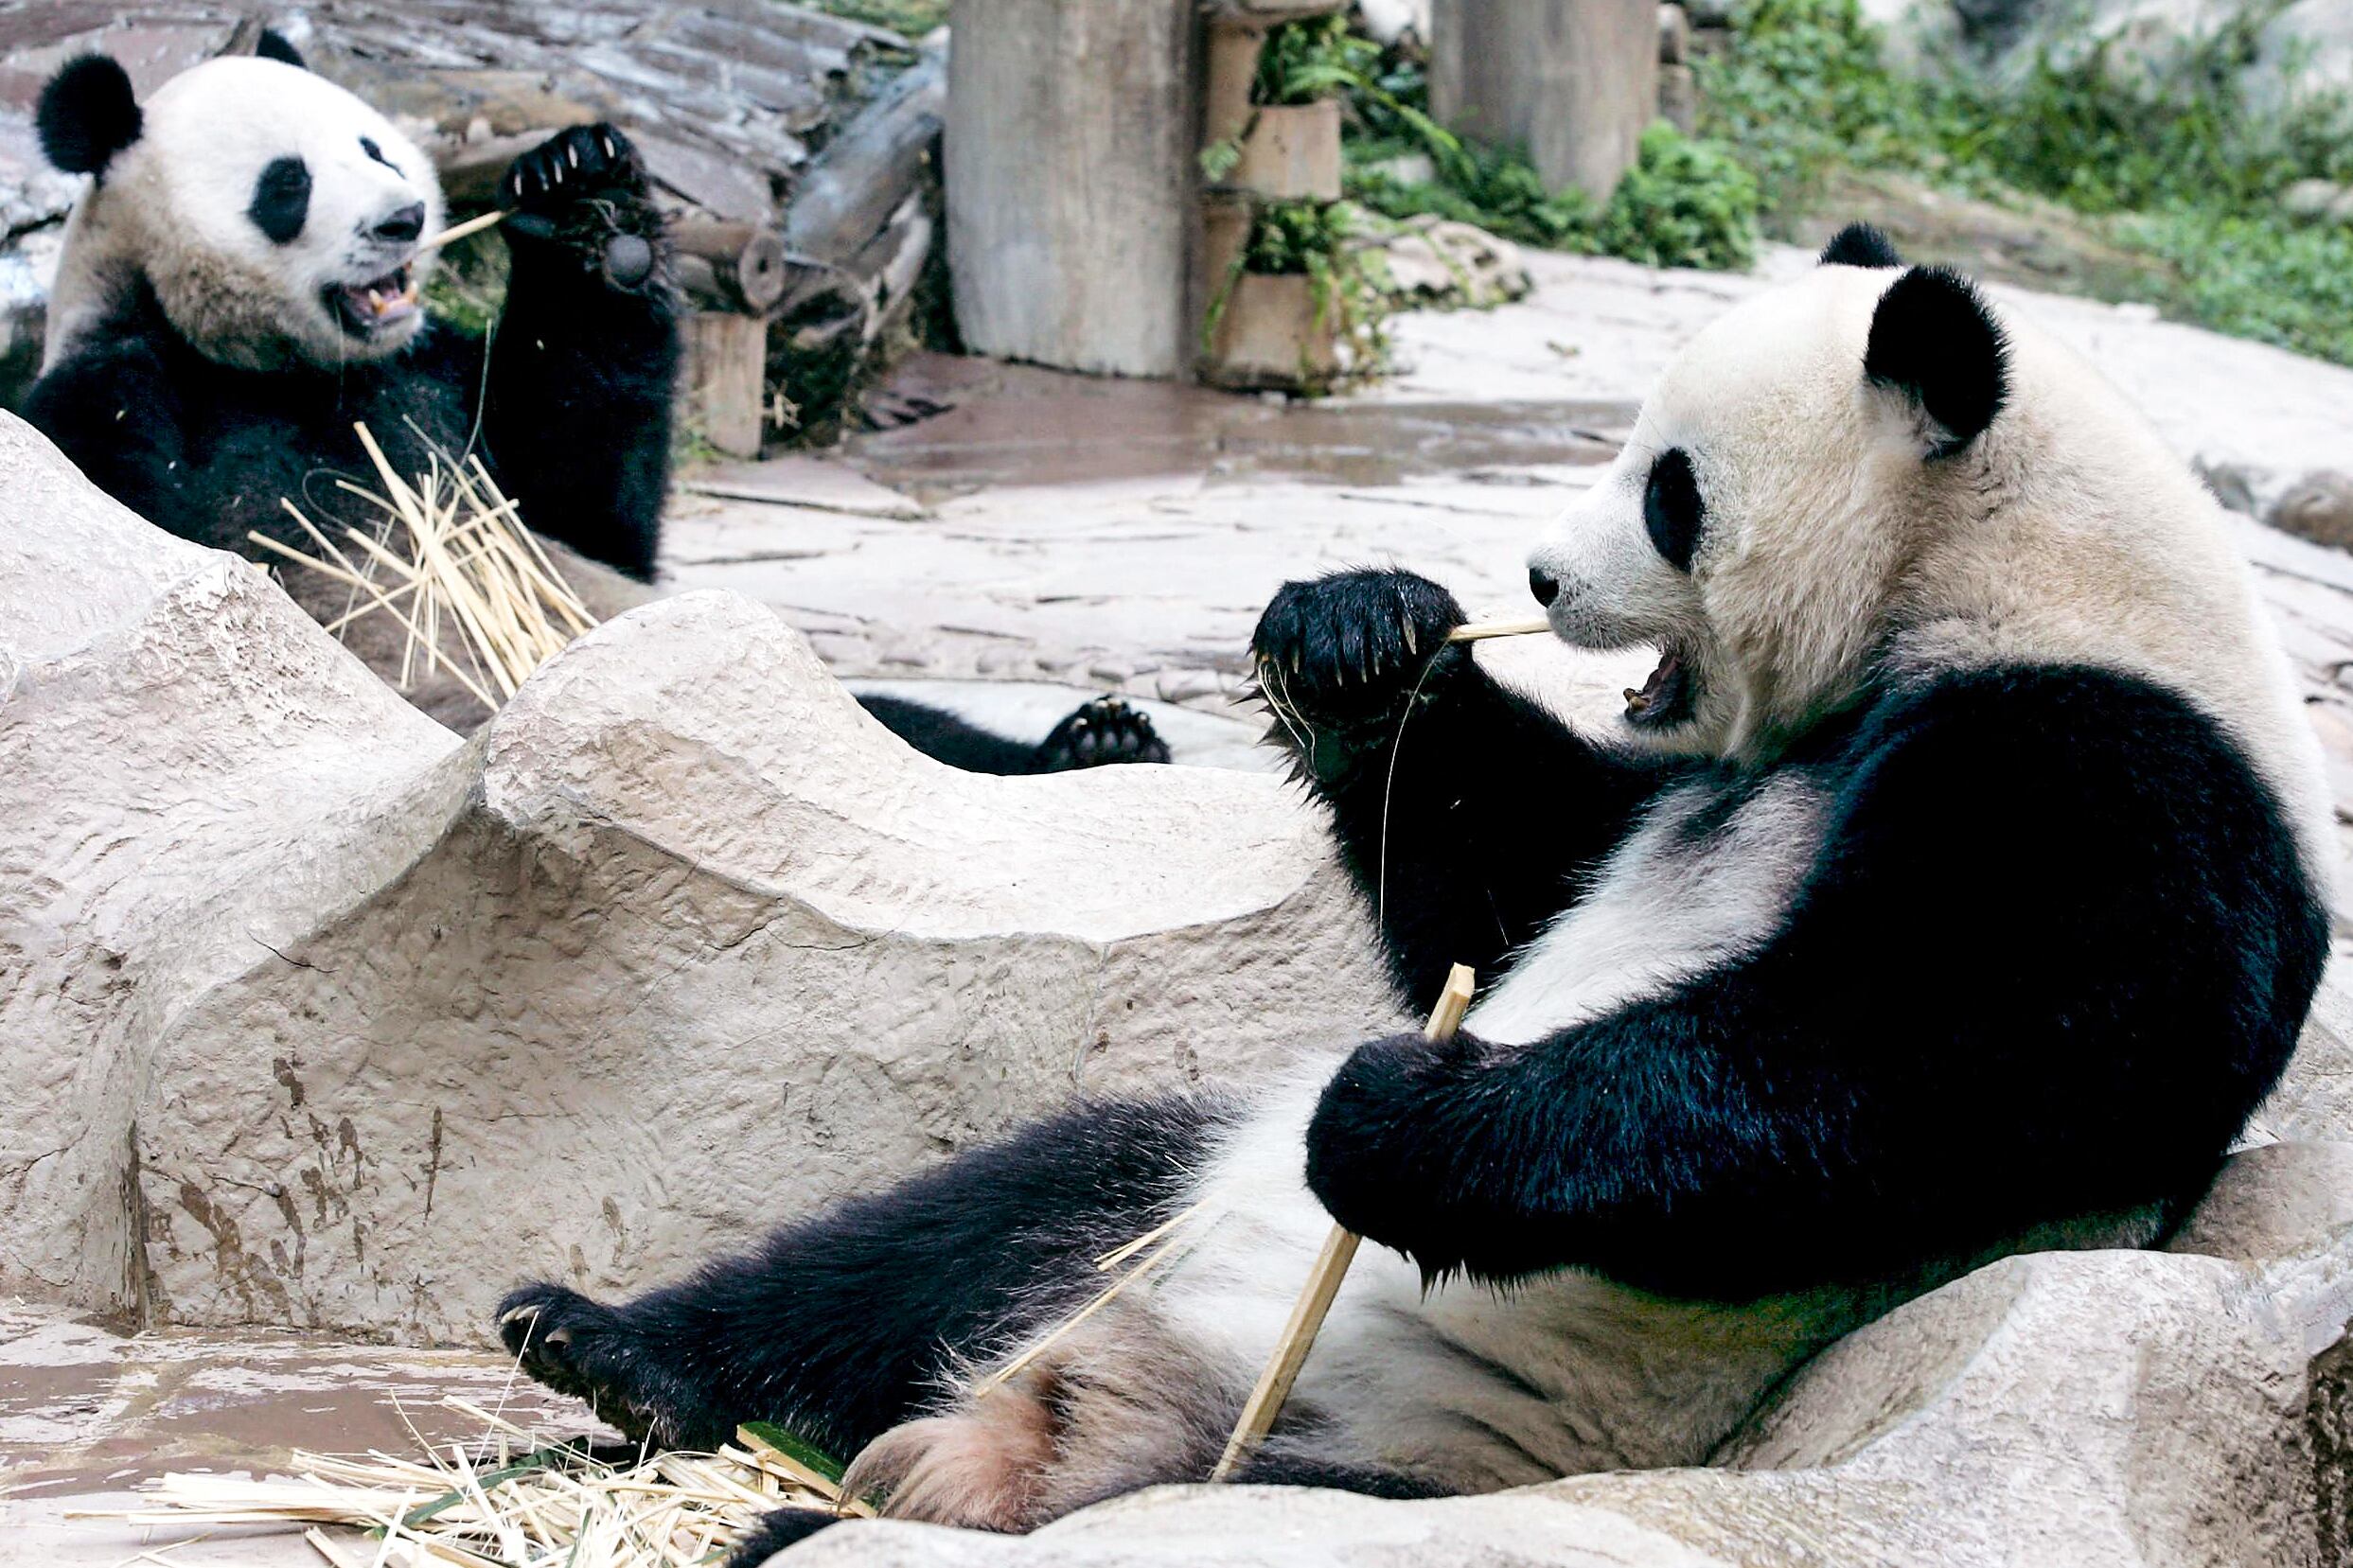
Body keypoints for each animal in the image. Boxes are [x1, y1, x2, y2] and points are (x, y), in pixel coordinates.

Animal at [20, 43, 1167, 777]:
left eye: (374, 147)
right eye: (287, 183)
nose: (401, 221)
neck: (289, 369)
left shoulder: (441, 389)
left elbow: (587, 501)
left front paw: (587, 203)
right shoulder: (121, 391)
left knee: (901, 737)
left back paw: (1096, 744)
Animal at [496, 224, 2332, 1560]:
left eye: (1667, 485)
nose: (1535, 574)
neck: (2004, 570)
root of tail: (1071, 1423)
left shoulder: (2119, 766)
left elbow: (1932, 1056)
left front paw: (1408, 1120)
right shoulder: (1685, 785)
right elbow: (1504, 882)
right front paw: (1358, 639)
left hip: (1367, 1455)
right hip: (1148, 1212)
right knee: (952, 1224)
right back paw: (611, 1345)